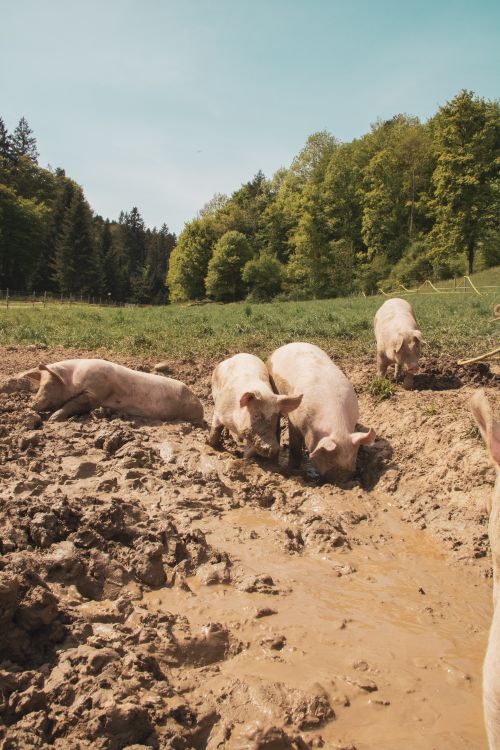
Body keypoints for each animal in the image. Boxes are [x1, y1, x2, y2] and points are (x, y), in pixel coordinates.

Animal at [21, 358, 204, 423]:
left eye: (50, 385)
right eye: (40, 384)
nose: (32, 405)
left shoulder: (95, 392)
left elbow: (74, 403)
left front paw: (53, 419)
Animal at [267, 342, 375, 481]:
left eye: (353, 456)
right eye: (328, 456)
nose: (342, 478)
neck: (338, 427)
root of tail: (288, 345)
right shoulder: (294, 420)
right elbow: (294, 445)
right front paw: (293, 469)